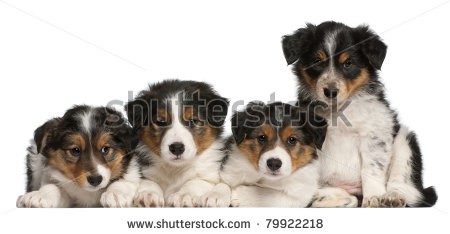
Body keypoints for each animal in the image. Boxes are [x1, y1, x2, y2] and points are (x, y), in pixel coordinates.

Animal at [102, 79, 229, 207]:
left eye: (193, 120)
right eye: (161, 122)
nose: (177, 148)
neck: (175, 169)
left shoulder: (209, 175)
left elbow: (195, 182)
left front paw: (183, 195)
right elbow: (146, 181)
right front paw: (148, 194)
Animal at [284, 20, 438, 207]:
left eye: (348, 63)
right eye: (317, 61)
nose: (330, 92)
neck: (338, 110)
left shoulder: (375, 134)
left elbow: (371, 169)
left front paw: (374, 197)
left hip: (405, 142)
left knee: (406, 187)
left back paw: (391, 198)